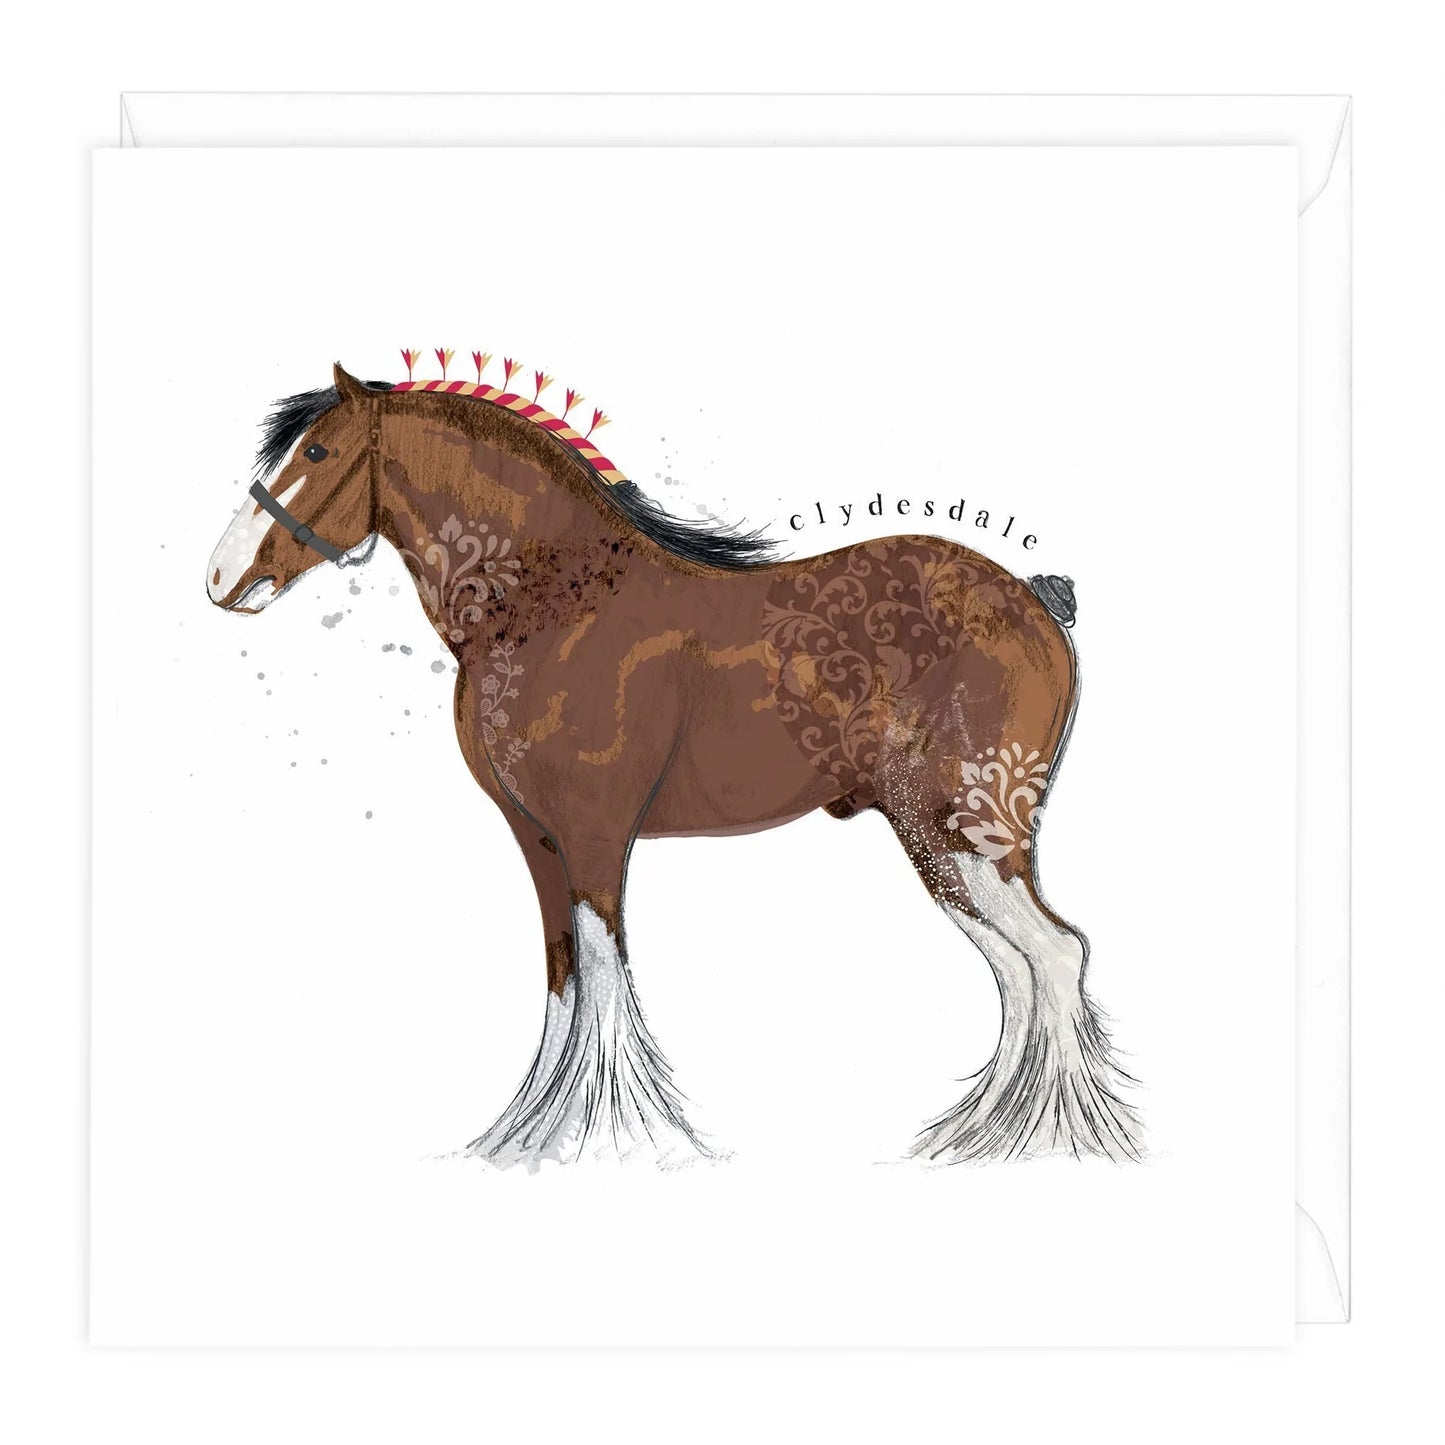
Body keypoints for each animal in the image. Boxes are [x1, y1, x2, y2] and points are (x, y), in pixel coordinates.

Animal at [207, 361, 1141, 1168]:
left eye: (315, 452)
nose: (221, 578)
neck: (550, 598)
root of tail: (1036, 596)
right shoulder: (537, 840)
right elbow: (563, 978)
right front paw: (522, 1139)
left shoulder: (593, 837)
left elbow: (604, 981)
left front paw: (602, 1141)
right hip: (951, 845)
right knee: (1021, 973)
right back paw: (977, 1140)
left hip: (960, 832)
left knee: (1053, 957)